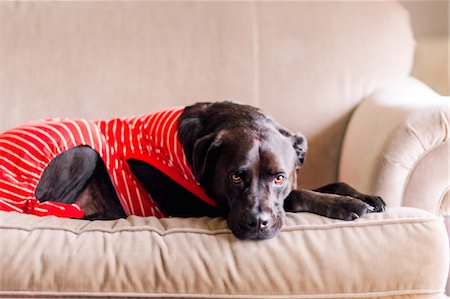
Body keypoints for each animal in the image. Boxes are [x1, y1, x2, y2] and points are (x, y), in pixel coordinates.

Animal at [36, 102, 386, 240]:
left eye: (279, 177)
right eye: (235, 176)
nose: (257, 223)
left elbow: (327, 182)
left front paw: (364, 195)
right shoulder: (198, 205)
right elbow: (299, 195)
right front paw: (347, 205)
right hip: (83, 152)